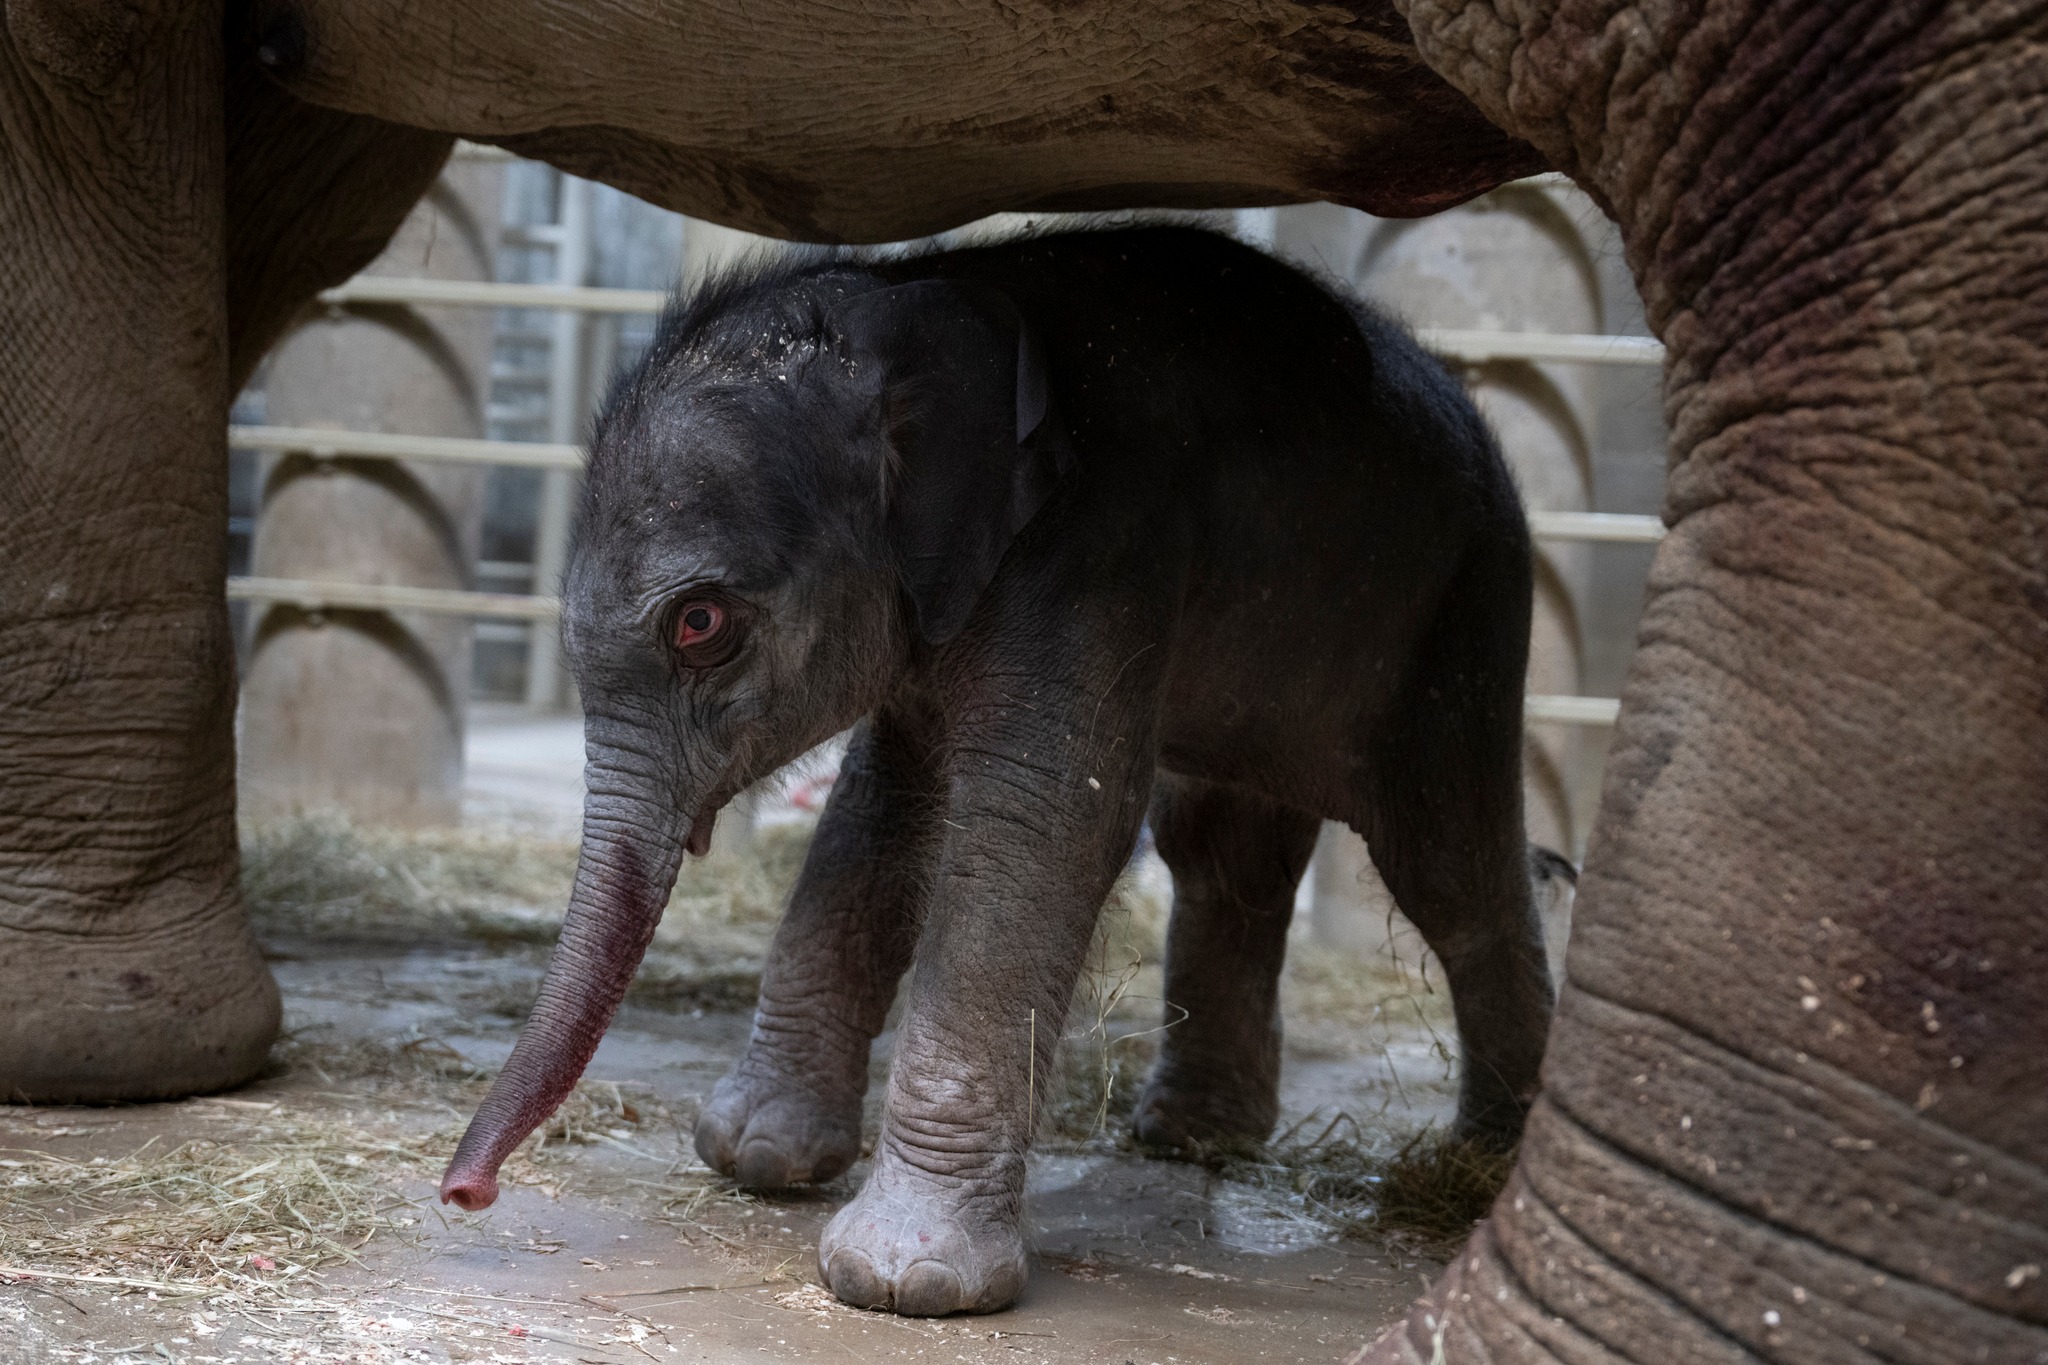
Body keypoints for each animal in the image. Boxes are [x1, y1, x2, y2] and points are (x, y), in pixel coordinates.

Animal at [432, 225, 1555, 1315]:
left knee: (1450, 867)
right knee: (1221, 850)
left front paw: (900, 1279)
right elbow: (885, 813)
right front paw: (760, 1156)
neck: (920, 289)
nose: (464, 1194)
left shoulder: (1097, 549)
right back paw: (1194, 1136)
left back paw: (1485, 1162)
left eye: (699, 623)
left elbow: (1037, 826)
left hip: (1465, 617)